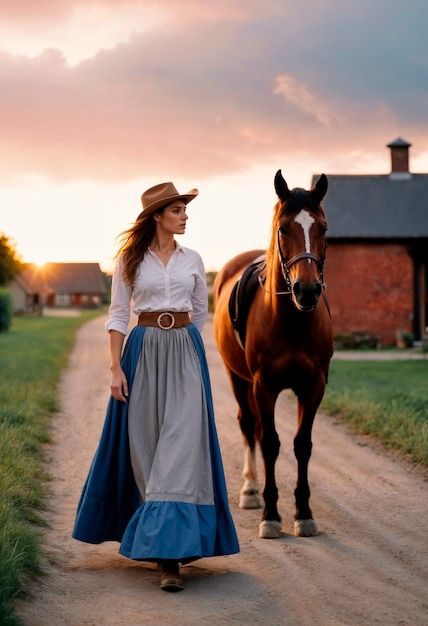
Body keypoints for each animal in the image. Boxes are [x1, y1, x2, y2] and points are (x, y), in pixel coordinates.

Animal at [212, 169, 332, 536]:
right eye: (284, 228)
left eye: (323, 229)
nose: (307, 291)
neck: (291, 321)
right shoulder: (263, 386)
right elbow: (270, 443)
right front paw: (271, 515)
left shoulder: (313, 387)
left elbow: (302, 445)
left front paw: (303, 513)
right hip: (236, 378)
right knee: (248, 424)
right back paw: (251, 490)